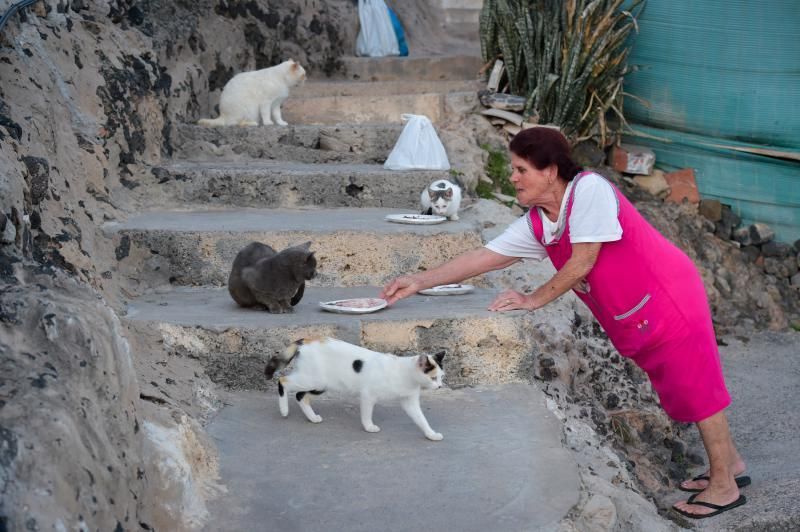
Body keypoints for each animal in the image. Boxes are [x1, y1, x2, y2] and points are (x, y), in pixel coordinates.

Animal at [266, 338, 446, 442]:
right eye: (433, 378)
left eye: (441, 377)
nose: (439, 386)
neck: (404, 374)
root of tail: (307, 340)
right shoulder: (368, 395)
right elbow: (366, 414)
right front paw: (369, 427)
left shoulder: (410, 402)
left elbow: (421, 419)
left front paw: (430, 434)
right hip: (311, 379)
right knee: (283, 381)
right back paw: (284, 410)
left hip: (320, 384)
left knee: (300, 396)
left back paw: (312, 418)